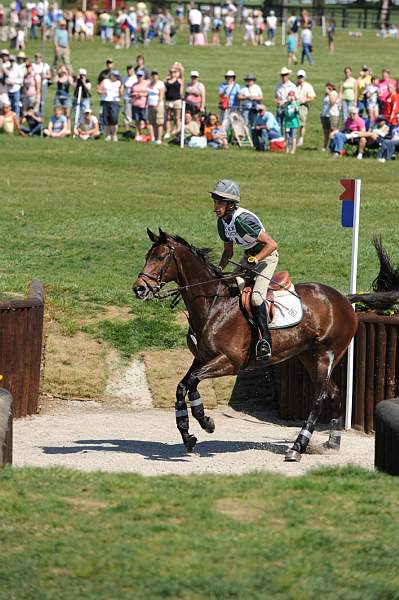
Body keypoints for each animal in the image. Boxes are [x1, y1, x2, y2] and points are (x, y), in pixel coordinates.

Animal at [134, 227, 396, 462]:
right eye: (147, 256)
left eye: (160, 257)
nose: (139, 288)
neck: (212, 304)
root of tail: (343, 298)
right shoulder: (202, 358)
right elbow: (183, 386)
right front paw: (189, 432)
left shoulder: (230, 362)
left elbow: (192, 383)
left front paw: (204, 421)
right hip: (307, 356)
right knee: (333, 393)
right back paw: (331, 443)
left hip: (326, 354)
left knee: (319, 398)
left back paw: (297, 447)